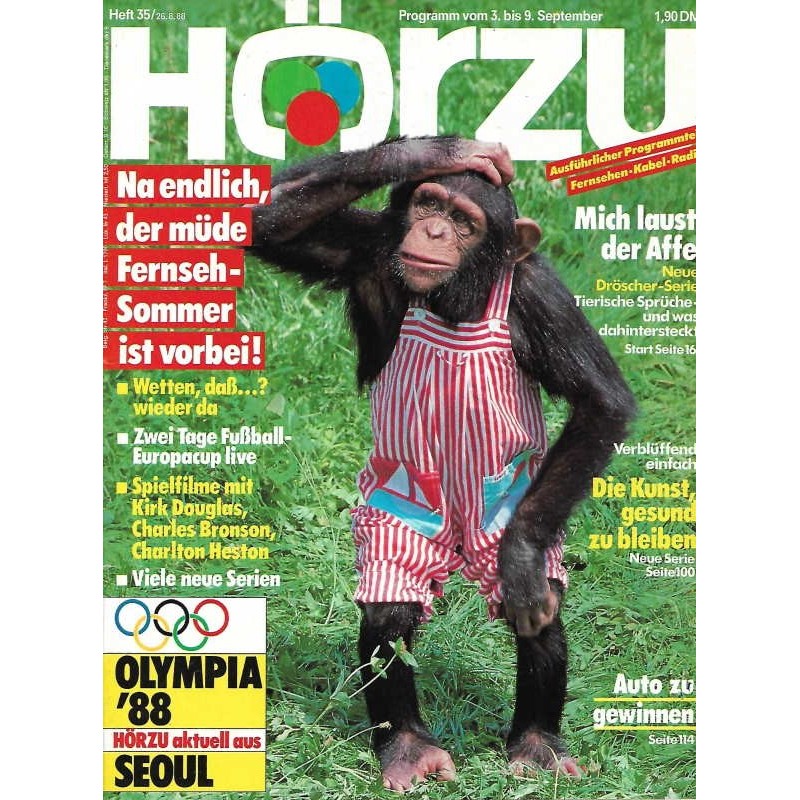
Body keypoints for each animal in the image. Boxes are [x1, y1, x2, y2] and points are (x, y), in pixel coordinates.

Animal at [248, 136, 636, 792]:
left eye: (464, 222)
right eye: (430, 202)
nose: (431, 230)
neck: (457, 305)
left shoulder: (542, 295)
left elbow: (600, 404)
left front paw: (523, 561)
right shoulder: (373, 249)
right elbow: (260, 217)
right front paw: (438, 150)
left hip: (501, 509)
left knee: (538, 612)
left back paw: (537, 744)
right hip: (401, 503)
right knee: (390, 611)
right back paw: (408, 748)